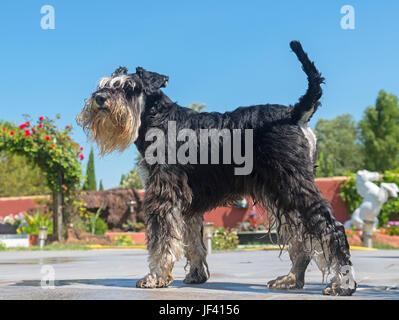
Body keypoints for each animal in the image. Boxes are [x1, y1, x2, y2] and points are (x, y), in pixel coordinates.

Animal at [77, 41, 356, 296]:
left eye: (129, 88)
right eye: (103, 85)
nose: (99, 98)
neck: (159, 118)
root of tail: (294, 113)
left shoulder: (163, 195)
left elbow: (161, 241)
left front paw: (155, 277)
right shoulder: (187, 204)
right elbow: (193, 241)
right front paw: (196, 275)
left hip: (294, 187)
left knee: (331, 229)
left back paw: (341, 284)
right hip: (283, 196)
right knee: (300, 238)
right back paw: (290, 279)